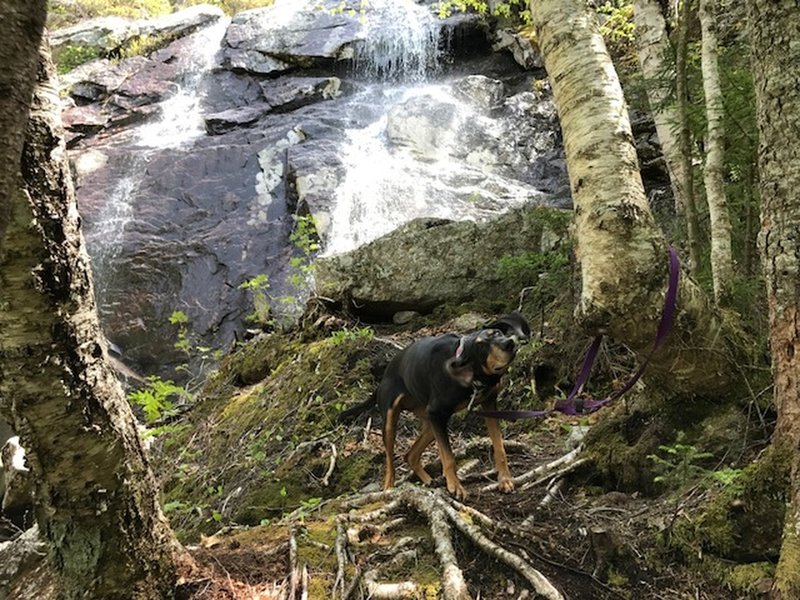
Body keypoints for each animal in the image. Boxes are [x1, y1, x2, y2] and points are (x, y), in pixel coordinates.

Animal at [340, 312, 528, 500]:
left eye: (497, 332)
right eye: (480, 346)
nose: (509, 343)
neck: (473, 377)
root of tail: (384, 376)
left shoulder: (489, 404)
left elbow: (499, 447)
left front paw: (505, 479)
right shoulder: (437, 413)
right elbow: (449, 458)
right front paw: (455, 487)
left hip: (430, 423)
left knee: (410, 456)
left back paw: (429, 480)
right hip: (393, 421)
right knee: (390, 462)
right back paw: (389, 489)